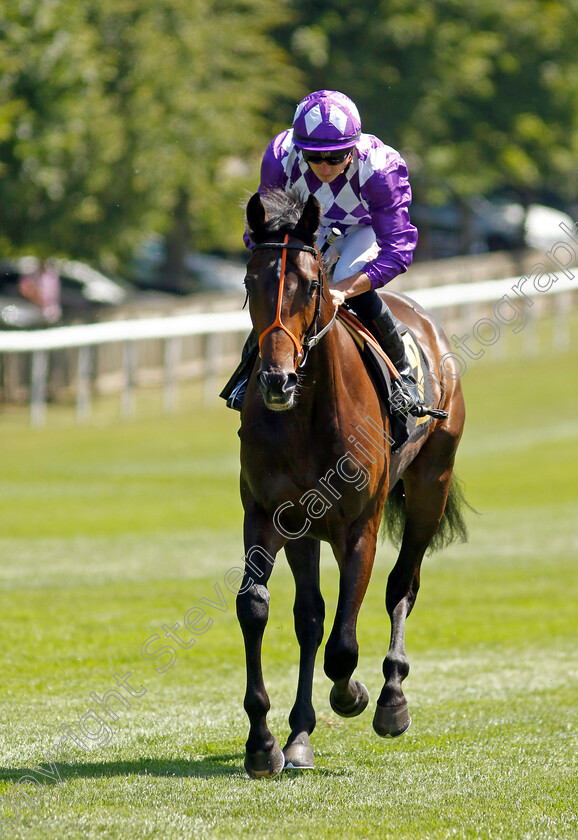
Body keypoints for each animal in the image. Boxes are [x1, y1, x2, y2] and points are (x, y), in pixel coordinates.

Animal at [233, 187, 464, 776]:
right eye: (249, 282)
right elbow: (260, 609)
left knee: (402, 586)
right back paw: (299, 736)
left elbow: (343, 644)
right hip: (306, 529)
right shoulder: (269, 515)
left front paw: (354, 695)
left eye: (311, 285)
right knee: (310, 617)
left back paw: (390, 699)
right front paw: (264, 741)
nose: (276, 380)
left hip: (431, 487)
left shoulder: (360, 524)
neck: (307, 416)